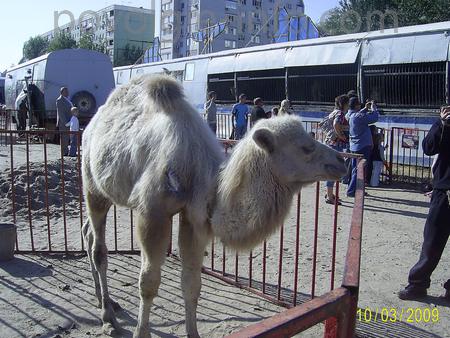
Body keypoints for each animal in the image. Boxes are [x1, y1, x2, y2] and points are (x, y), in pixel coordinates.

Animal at [81, 75, 348, 336]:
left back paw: (104, 300)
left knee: (88, 232)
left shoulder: (193, 218)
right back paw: (108, 317)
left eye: (311, 139)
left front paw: (193, 332)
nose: (341, 161)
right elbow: (149, 282)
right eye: (306, 148)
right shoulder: (152, 213)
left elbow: (191, 283)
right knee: (99, 249)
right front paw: (140, 332)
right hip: (92, 184)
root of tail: (90, 126)